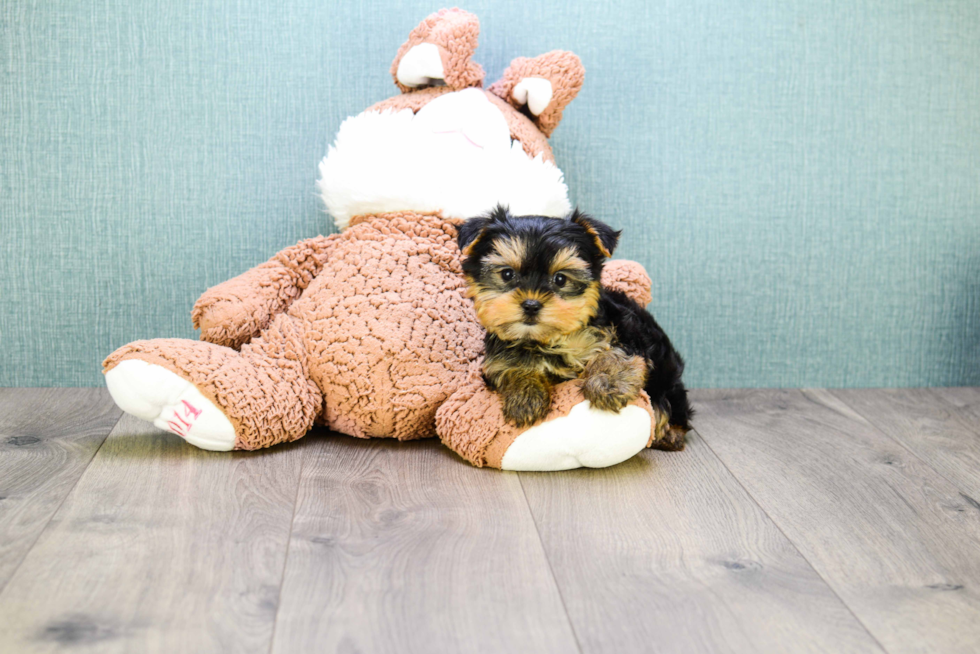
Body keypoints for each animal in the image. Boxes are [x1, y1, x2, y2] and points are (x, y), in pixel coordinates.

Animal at [458, 205, 692, 452]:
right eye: (507, 274)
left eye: (560, 279)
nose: (531, 305)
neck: (548, 339)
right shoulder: (498, 357)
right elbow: (511, 366)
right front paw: (525, 396)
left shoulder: (623, 335)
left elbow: (614, 355)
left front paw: (608, 383)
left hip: (666, 375)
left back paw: (671, 433)